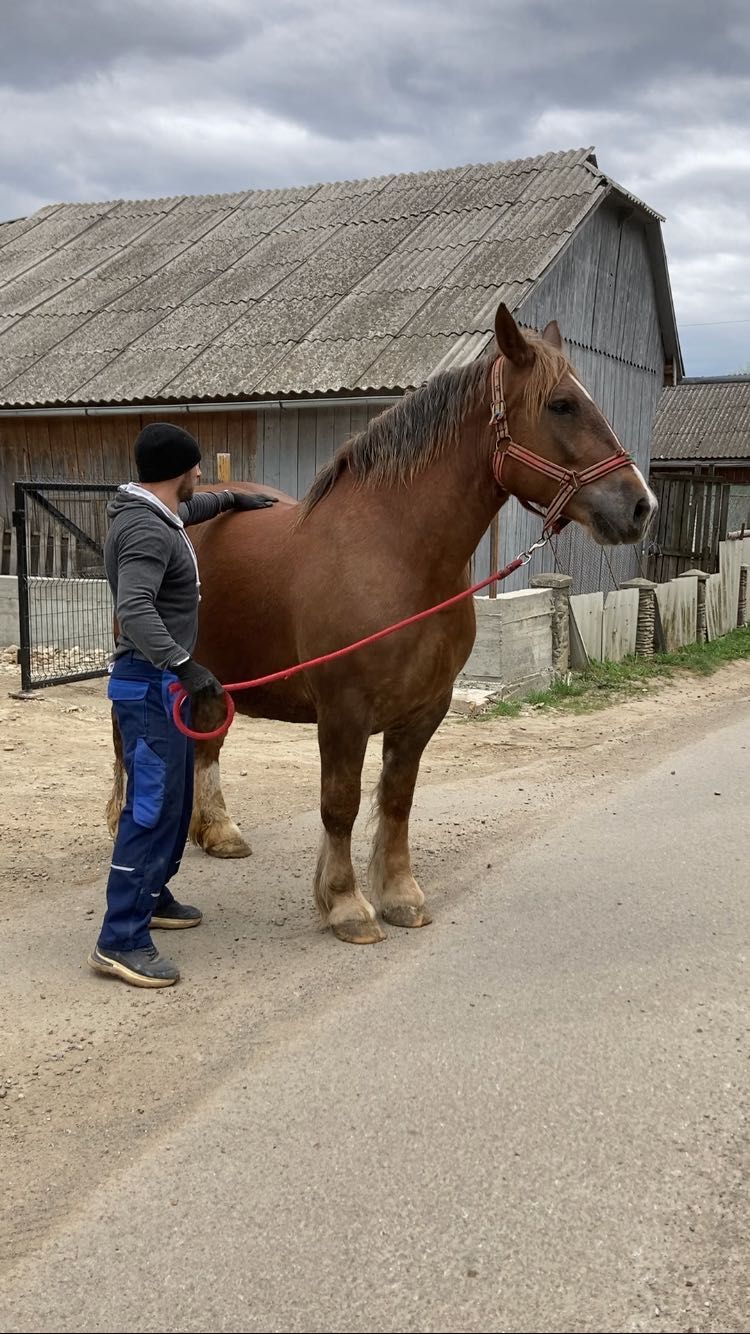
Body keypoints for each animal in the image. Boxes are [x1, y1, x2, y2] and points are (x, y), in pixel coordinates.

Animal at [106, 305, 653, 944]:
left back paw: (218, 832)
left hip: (215, 678)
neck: (397, 555)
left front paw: (399, 896)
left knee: (207, 742)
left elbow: (396, 800)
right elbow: (339, 805)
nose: (639, 507)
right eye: (561, 405)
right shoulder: (343, 711)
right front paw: (346, 905)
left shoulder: (424, 710)